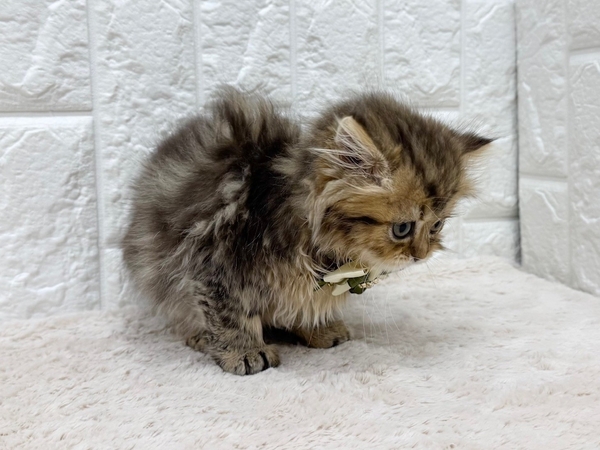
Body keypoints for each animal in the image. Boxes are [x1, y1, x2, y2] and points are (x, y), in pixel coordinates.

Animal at [122, 87, 491, 375]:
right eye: (402, 228)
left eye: (437, 225)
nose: (421, 256)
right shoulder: (215, 261)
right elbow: (229, 313)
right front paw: (243, 350)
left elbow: (303, 305)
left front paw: (319, 328)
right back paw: (201, 336)